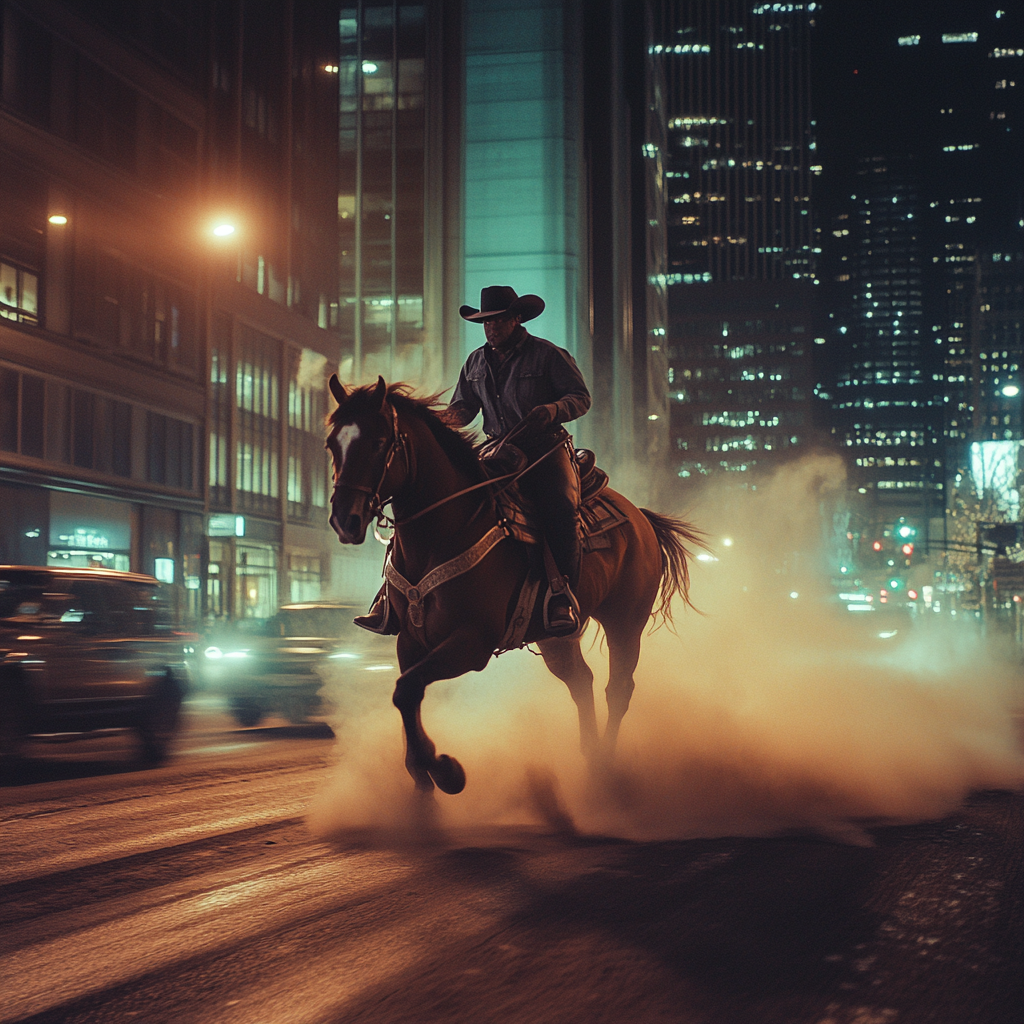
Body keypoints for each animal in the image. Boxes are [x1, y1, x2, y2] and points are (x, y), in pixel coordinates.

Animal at [327, 372, 704, 794]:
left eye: (379, 442)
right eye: (332, 443)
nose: (344, 519)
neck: (446, 529)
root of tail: (641, 517)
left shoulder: (472, 641)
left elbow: (408, 689)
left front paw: (445, 770)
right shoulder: (409, 639)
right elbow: (405, 693)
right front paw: (422, 771)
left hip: (625, 622)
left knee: (617, 689)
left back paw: (606, 765)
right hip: (556, 635)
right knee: (581, 681)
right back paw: (589, 756)